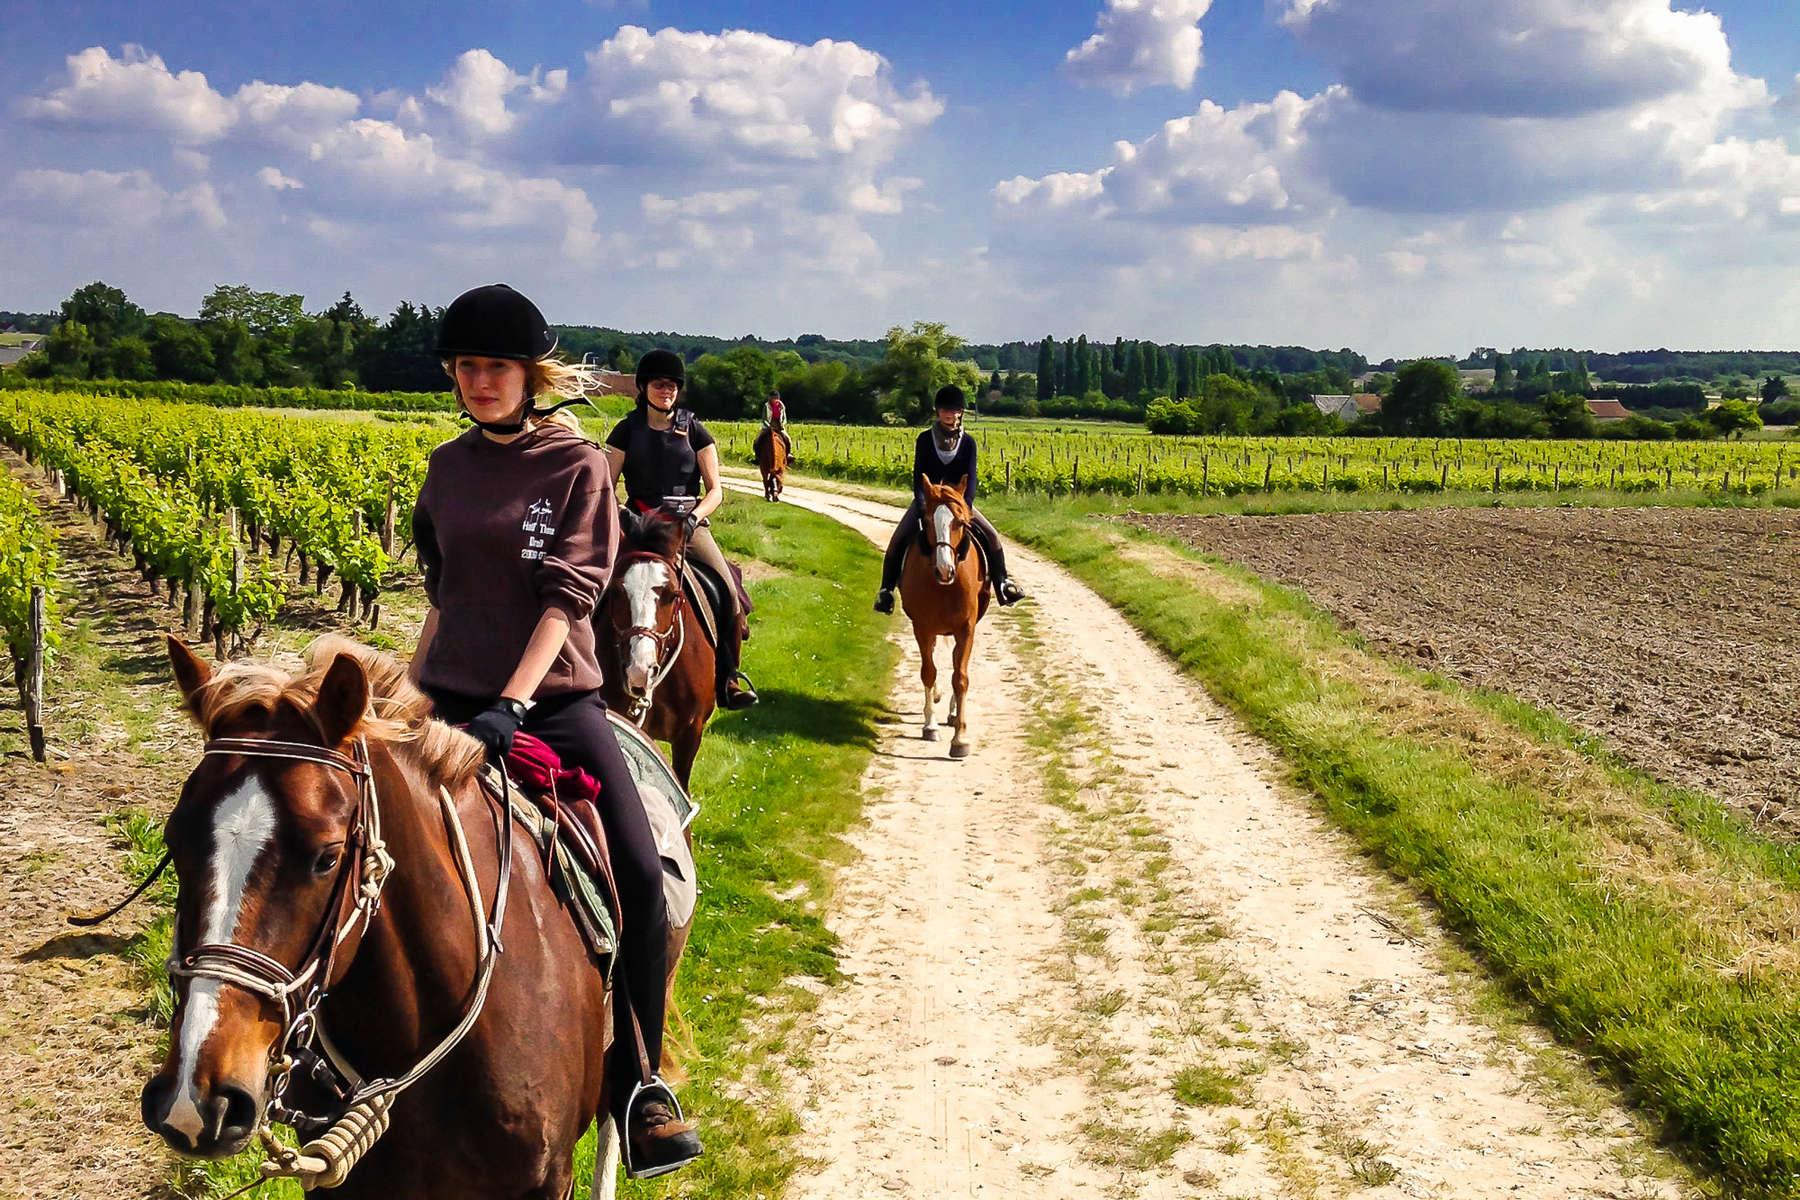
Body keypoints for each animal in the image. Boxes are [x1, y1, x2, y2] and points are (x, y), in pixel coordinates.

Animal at [900, 474, 1000, 755]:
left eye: (960, 522)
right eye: (927, 521)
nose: (945, 570)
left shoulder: (966, 629)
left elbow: (961, 677)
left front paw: (960, 738)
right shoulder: (922, 627)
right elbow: (928, 672)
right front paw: (930, 726)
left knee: (956, 663)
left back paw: (953, 713)